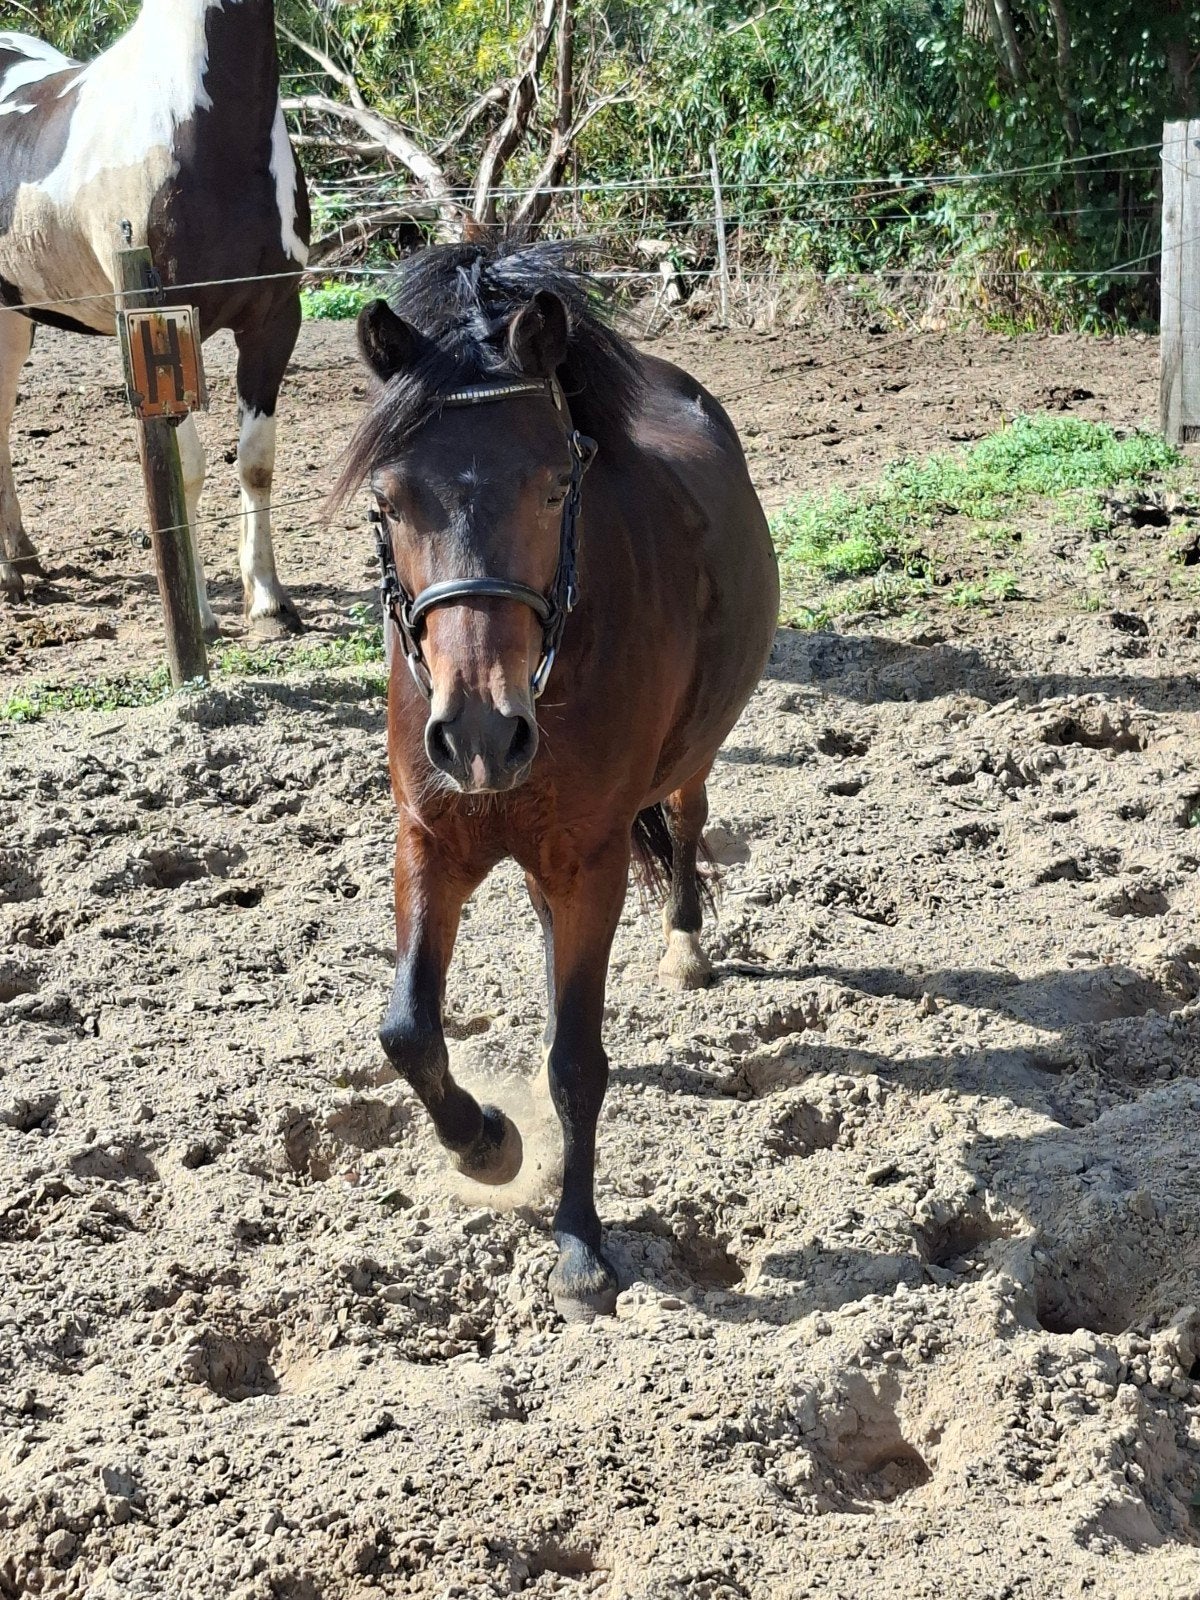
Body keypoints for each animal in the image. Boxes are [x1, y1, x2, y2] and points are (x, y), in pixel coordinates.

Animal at [0, 0, 309, 635]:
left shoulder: (273, 321)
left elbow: (256, 462)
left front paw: (268, 601)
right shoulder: (159, 328)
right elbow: (185, 468)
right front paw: (199, 615)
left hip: (16, 319)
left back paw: (21, 561)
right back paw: (8, 574)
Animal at [335, 241, 780, 1320]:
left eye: (549, 486)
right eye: (387, 503)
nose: (480, 733)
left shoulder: (589, 861)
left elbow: (578, 1059)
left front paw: (578, 1245)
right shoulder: (430, 840)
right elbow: (408, 1030)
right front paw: (486, 1145)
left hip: (689, 763)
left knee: (688, 824)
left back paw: (685, 946)